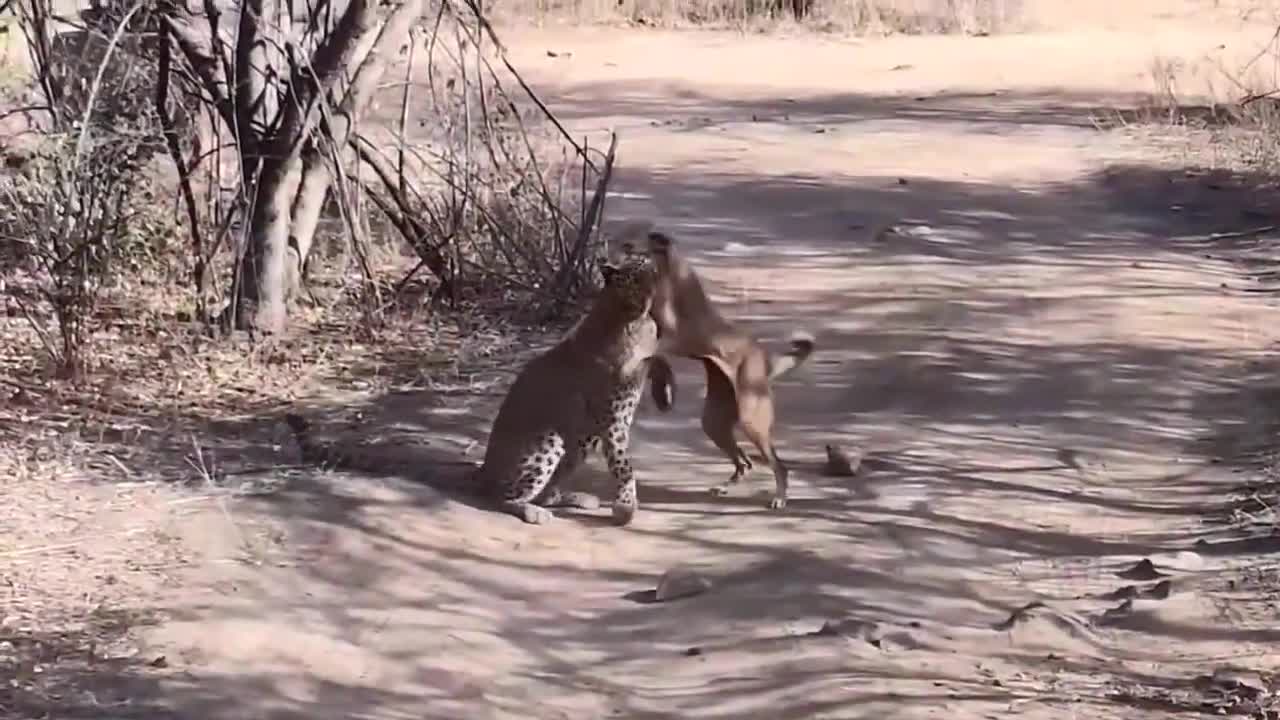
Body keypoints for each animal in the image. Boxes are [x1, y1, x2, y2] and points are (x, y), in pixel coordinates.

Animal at [284, 249, 675, 525]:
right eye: (636, 273)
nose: (655, 267)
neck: (629, 314)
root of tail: (482, 470)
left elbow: (656, 358)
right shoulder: (614, 417)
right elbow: (623, 464)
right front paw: (627, 508)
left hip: (578, 442)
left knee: (543, 490)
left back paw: (572, 498)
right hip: (549, 440)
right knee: (502, 498)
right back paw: (533, 511)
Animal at [606, 221, 808, 507]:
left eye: (629, 246)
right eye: (615, 241)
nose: (604, 264)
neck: (666, 268)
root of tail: (764, 359)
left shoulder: (673, 338)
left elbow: (646, 349)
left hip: (752, 422)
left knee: (779, 466)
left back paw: (780, 498)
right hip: (714, 423)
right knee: (745, 463)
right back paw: (725, 487)